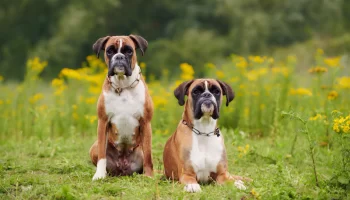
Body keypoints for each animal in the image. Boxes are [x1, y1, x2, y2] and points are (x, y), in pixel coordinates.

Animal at [89, 34, 153, 180]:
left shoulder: (146, 123)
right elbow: (102, 154)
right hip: (93, 148)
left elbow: (148, 155)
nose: (119, 57)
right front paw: (99, 175)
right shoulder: (102, 122)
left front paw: (149, 176)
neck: (123, 86)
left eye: (129, 51)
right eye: (109, 51)